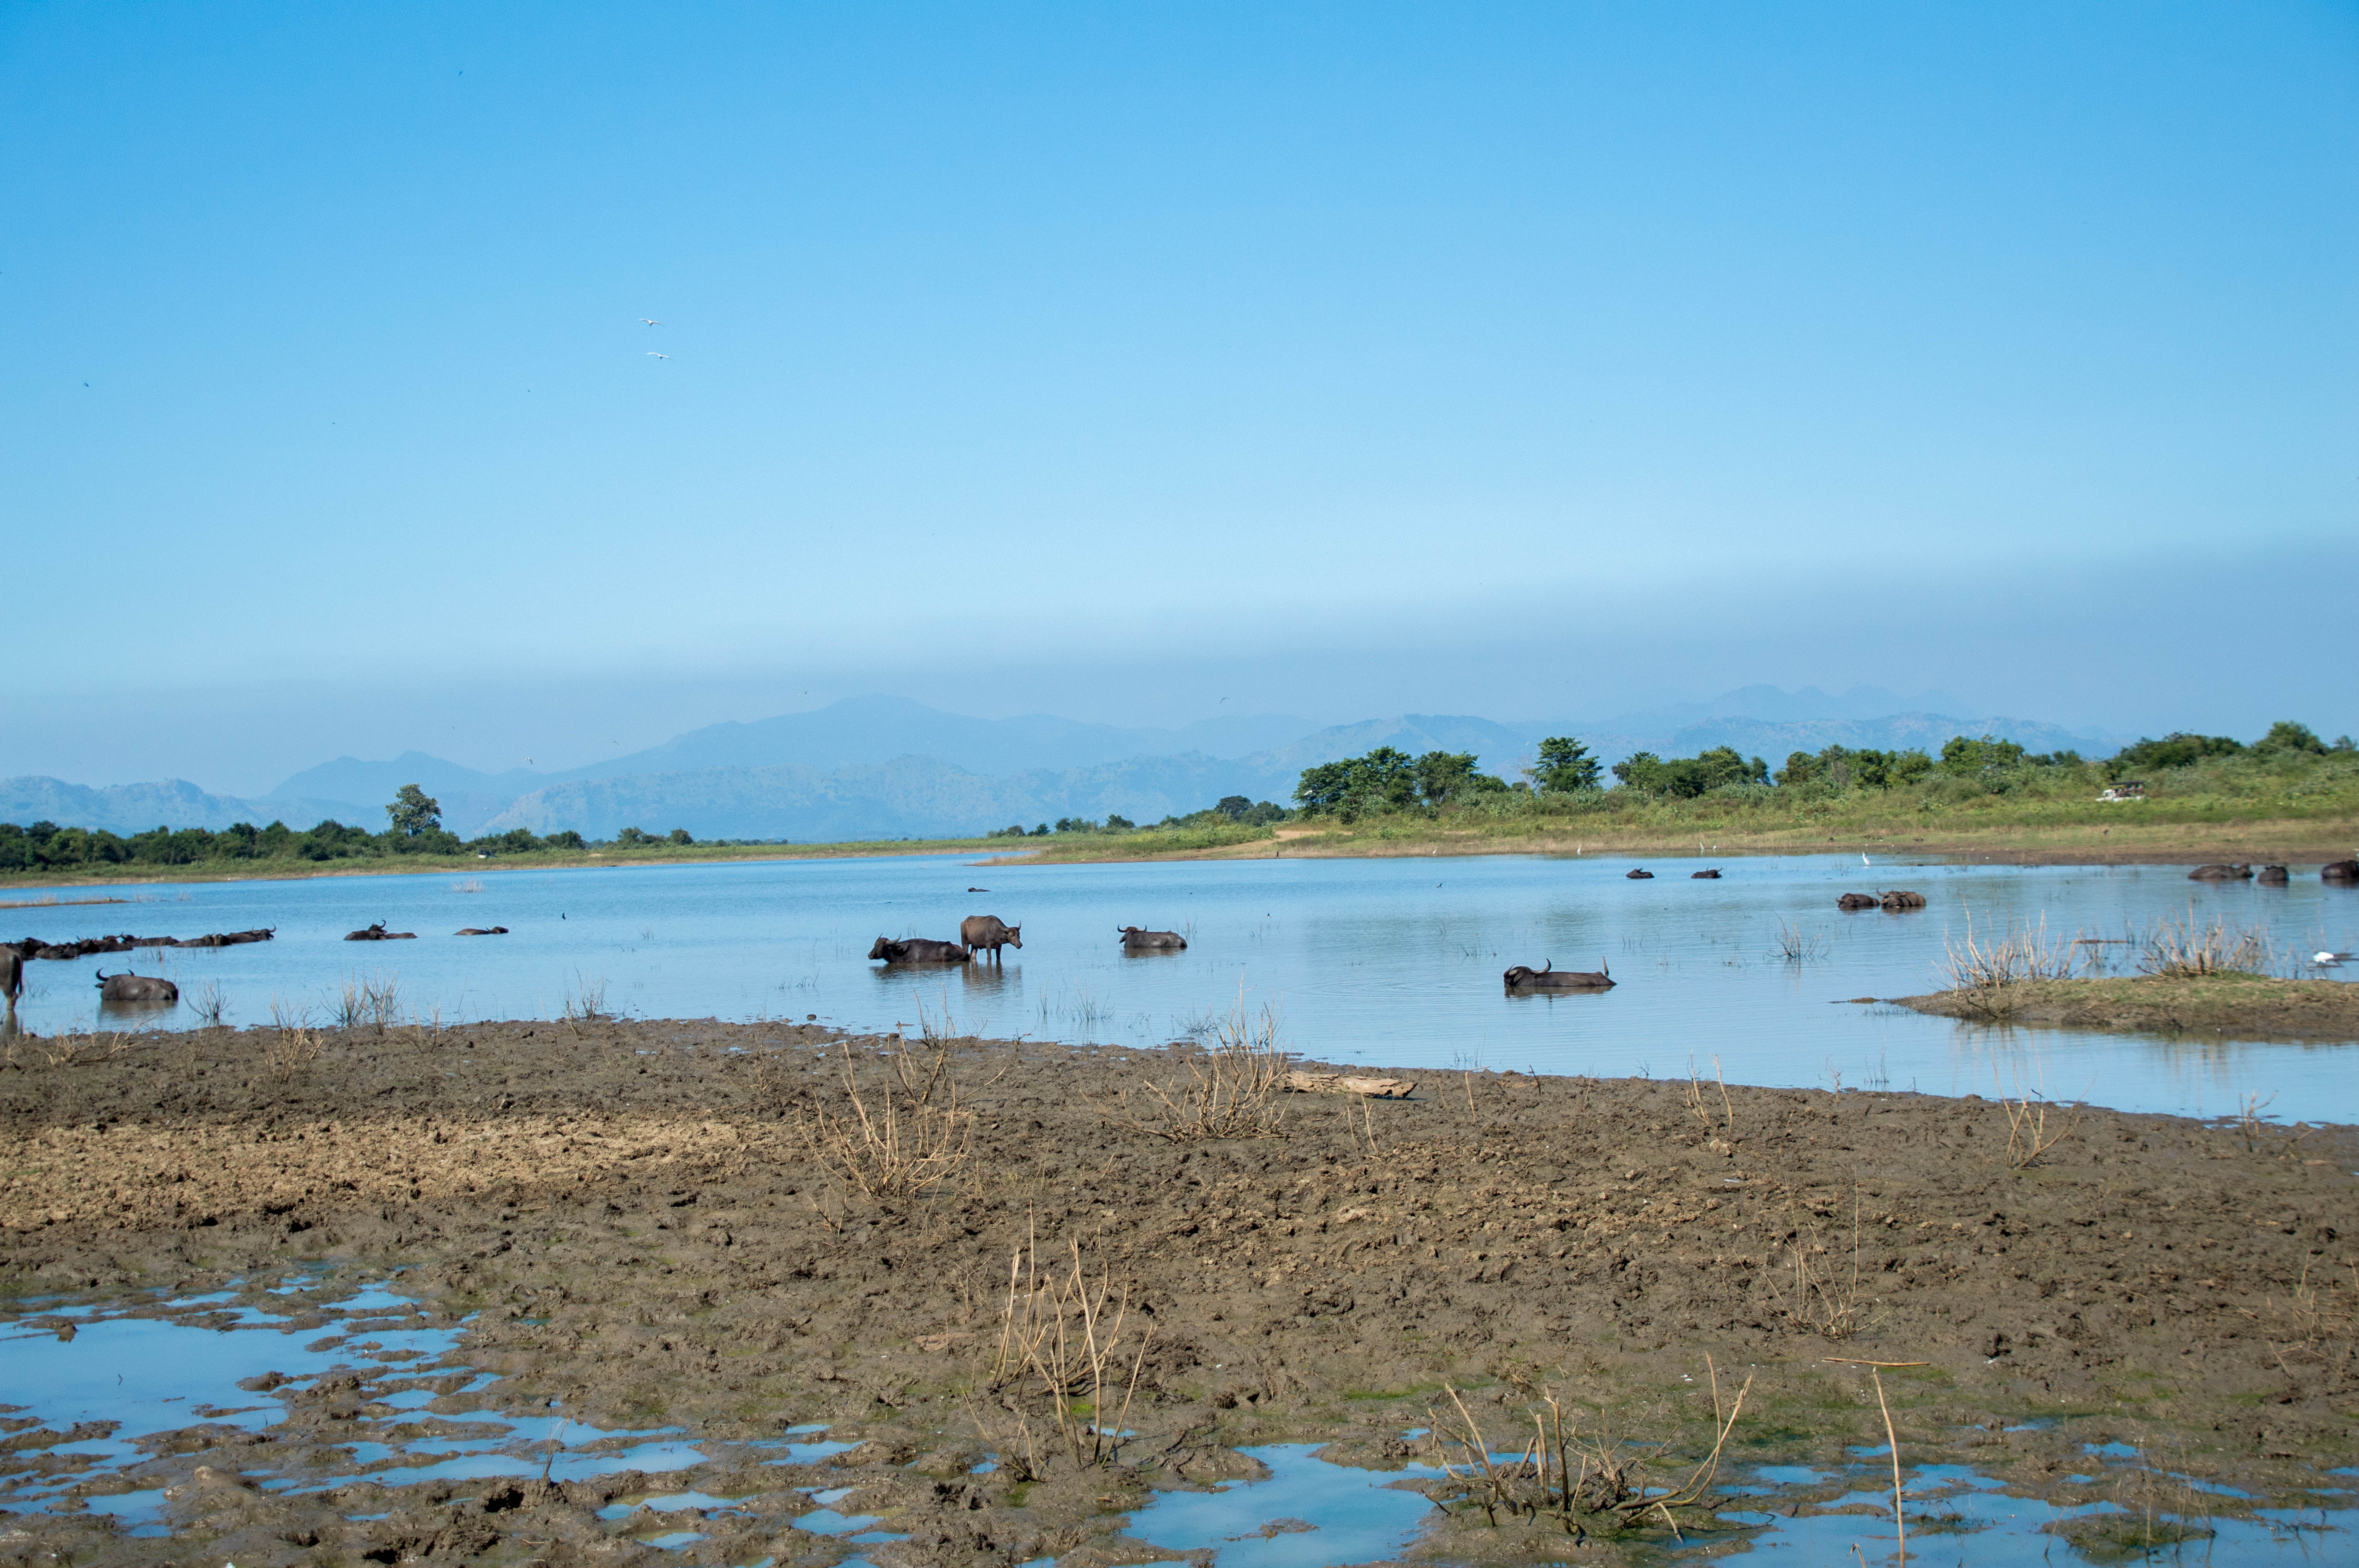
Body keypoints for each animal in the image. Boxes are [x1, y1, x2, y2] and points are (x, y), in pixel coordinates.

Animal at [960, 915, 1021, 962]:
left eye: (1019, 934)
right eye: (1012, 935)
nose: (1020, 945)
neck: (997, 932)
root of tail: (963, 922)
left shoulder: (999, 946)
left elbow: (998, 957)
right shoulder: (988, 945)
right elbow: (989, 957)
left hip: (975, 945)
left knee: (973, 955)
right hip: (965, 942)